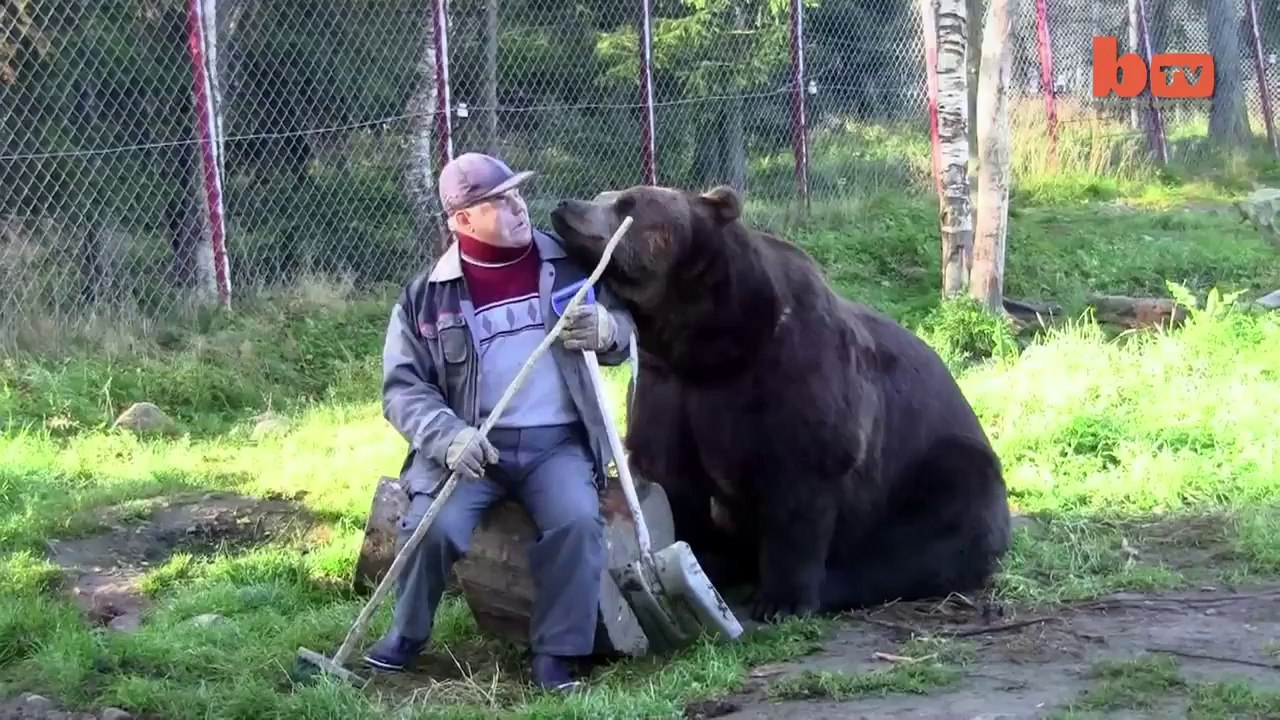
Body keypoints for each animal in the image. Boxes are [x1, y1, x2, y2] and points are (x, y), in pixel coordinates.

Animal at [547, 184, 1013, 623]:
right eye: (606, 194)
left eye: (627, 202)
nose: (566, 205)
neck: (709, 345)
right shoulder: (668, 387)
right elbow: (672, 478)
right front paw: (701, 563)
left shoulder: (793, 377)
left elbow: (798, 488)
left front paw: (781, 601)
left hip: (935, 466)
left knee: (930, 534)